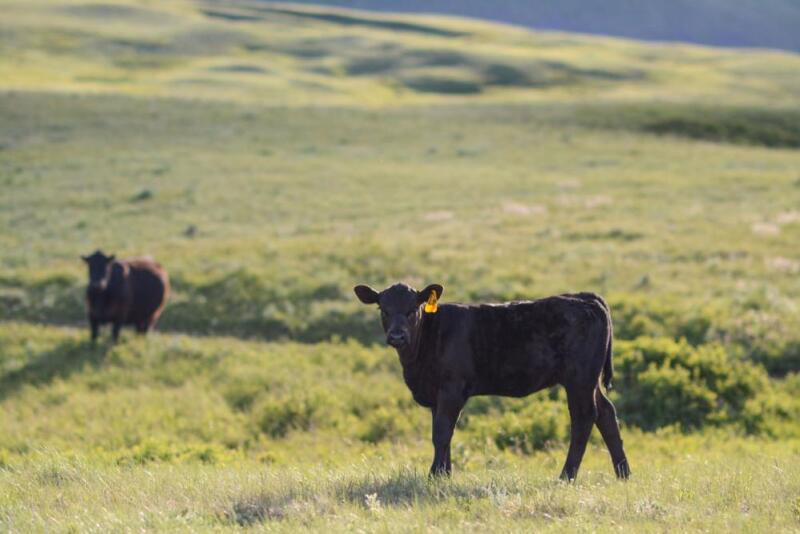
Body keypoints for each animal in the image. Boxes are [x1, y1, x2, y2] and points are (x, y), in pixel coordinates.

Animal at [354, 282, 630, 481]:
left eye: (413, 309)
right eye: (383, 309)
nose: (397, 336)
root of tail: (584, 297)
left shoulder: (452, 388)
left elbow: (441, 432)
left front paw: (434, 476)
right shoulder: (436, 393)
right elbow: (444, 433)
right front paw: (444, 474)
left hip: (579, 378)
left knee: (584, 417)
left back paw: (566, 476)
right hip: (589, 381)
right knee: (606, 413)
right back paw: (623, 474)